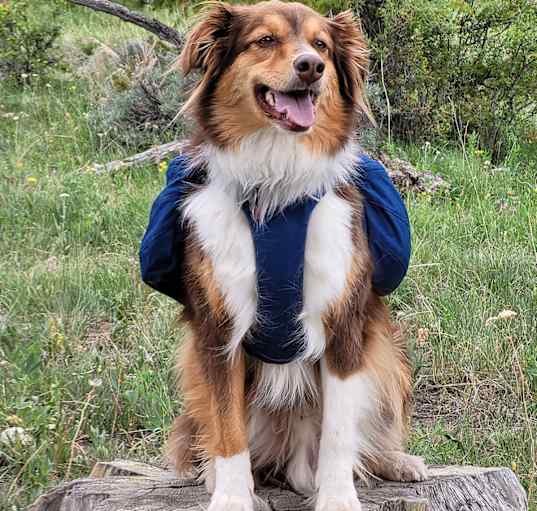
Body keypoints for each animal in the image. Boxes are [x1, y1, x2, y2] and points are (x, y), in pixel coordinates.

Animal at [165, 2, 430, 510]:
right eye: (265, 41)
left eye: (321, 45)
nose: (311, 67)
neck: (276, 185)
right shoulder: (217, 330)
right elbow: (227, 430)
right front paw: (231, 496)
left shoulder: (344, 323)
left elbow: (340, 434)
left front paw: (339, 498)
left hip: (387, 354)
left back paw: (397, 462)